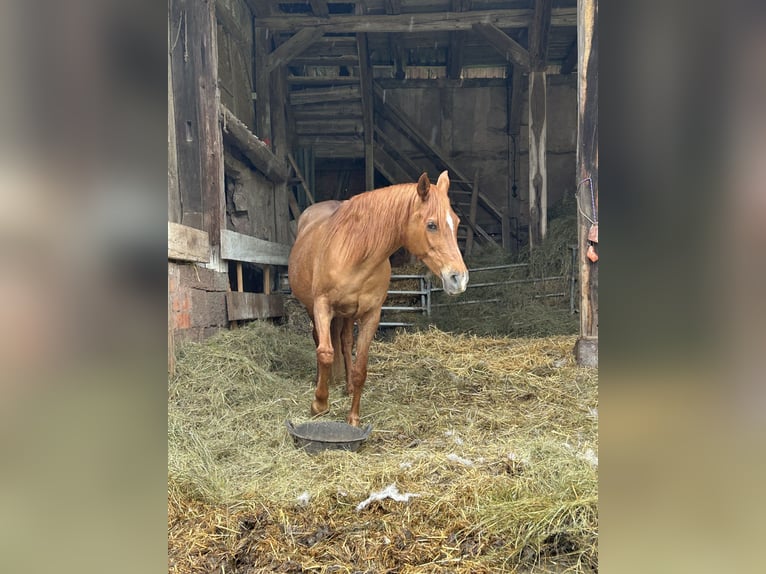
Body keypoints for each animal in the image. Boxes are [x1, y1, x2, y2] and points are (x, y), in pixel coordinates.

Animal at [288, 171, 469, 426]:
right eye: (431, 225)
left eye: (457, 222)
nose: (459, 279)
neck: (354, 254)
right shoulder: (322, 306)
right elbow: (325, 353)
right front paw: (319, 405)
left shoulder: (371, 315)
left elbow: (360, 368)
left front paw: (353, 418)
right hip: (311, 308)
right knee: (319, 341)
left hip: (347, 315)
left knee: (345, 343)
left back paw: (346, 386)